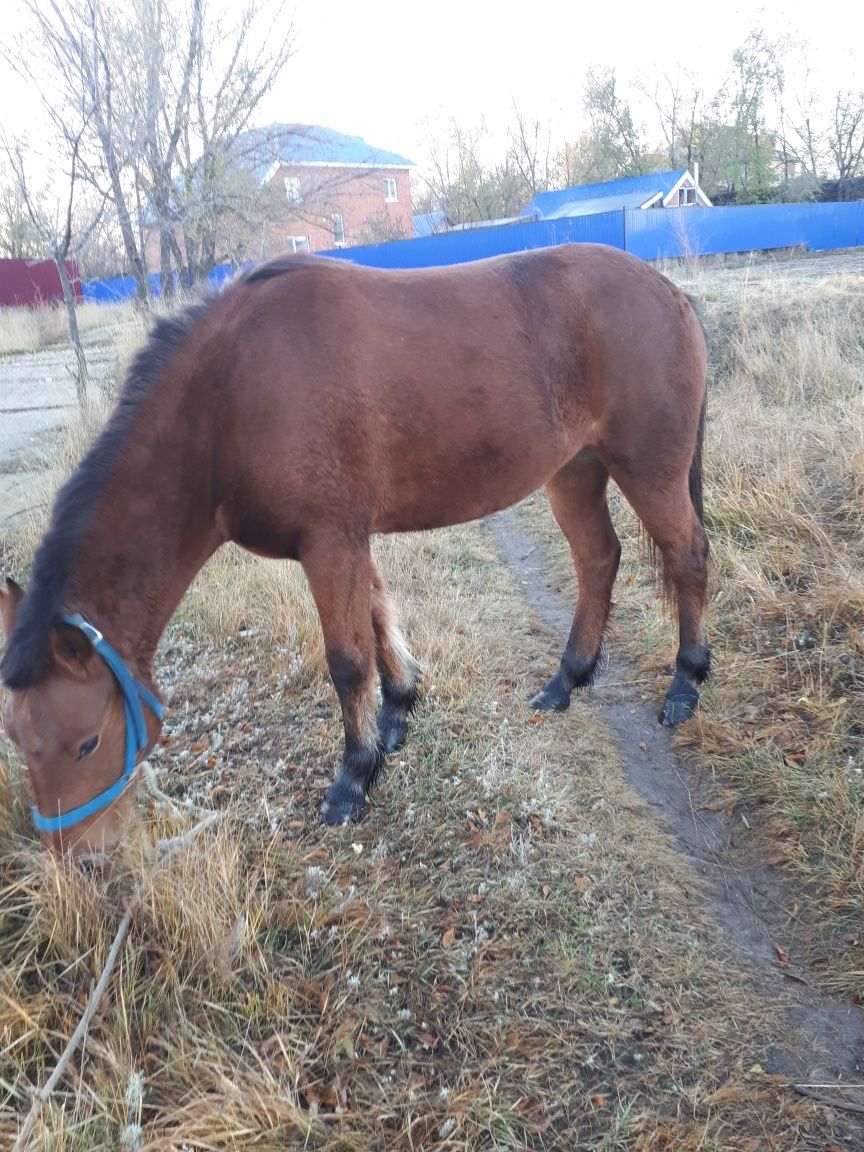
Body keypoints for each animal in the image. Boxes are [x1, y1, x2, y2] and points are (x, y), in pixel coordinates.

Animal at [0, 245, 709, 857]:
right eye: (17, 737)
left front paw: (353, 777)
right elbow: (377, 614)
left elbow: (346, 660)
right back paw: (567, 680)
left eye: (87, 743)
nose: (82, 858)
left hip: (648, 470)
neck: (233, 394)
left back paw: (685, 684)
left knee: (688, 557)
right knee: (598, 560)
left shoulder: (330, 539)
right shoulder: (346, 539)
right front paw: (397, 713)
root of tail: (671, 292)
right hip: (574, 471)